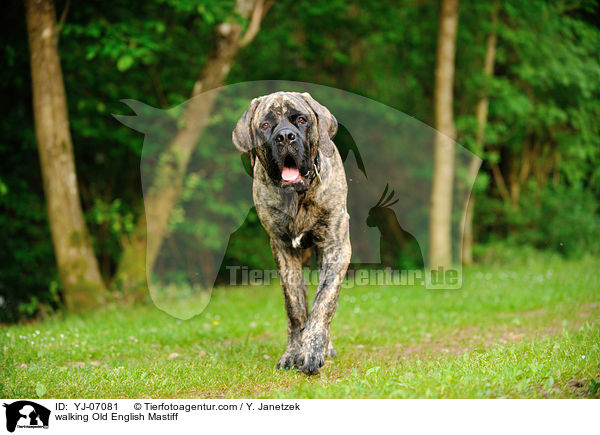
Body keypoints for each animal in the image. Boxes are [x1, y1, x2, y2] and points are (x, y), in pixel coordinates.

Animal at [231, 91, 352, 374]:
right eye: (265, 125)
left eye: (301, 119)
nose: (285, 136)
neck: (297, 197)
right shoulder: (283, 249)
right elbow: (295, 307)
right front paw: (293, 351)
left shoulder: (336, 248)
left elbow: (324, 302)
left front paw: (311, 350)